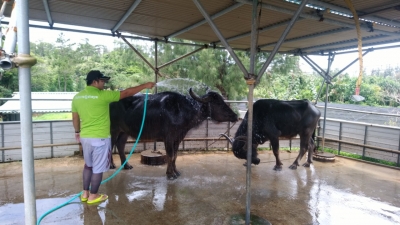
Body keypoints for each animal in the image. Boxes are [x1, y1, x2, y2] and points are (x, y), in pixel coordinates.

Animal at [109, 88, 238, 179]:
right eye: (219, 103)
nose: (235, 116)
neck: (182, 110)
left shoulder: (178, 138)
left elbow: (175, 155)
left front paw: (176, 171)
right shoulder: (169, 138)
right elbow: (170, 155)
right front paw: (170, 174)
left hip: (124, 131)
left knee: (120, 145)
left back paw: (126, 166)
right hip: (113, 130)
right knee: (111, 145)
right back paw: (111, 165)